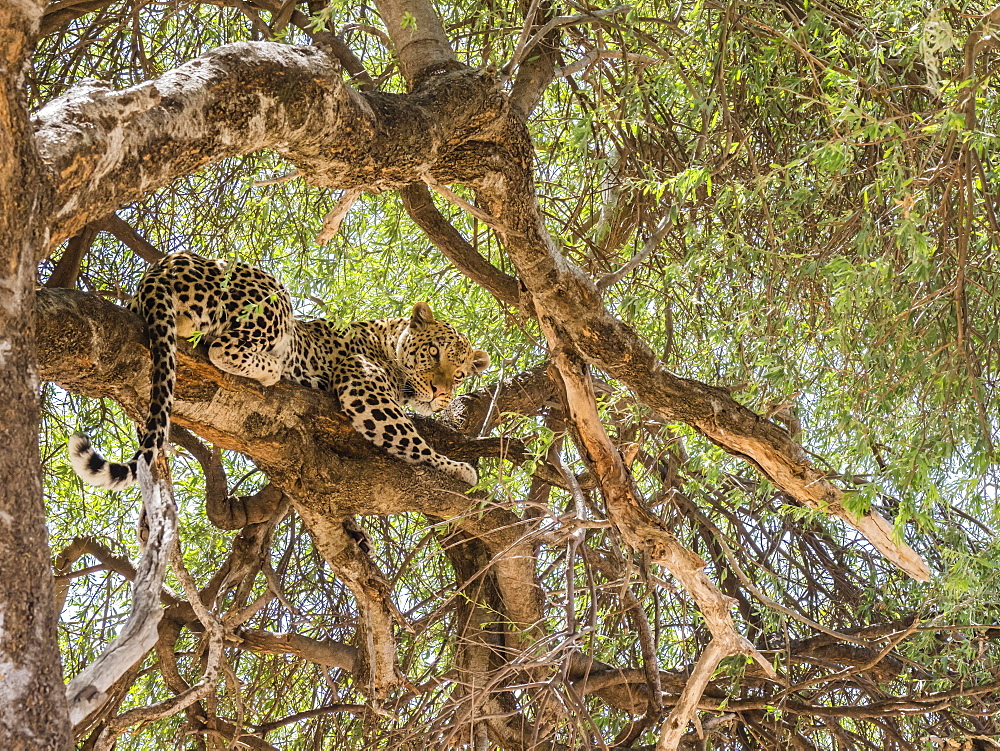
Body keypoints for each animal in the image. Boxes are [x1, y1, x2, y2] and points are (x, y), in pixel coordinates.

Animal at [68, 250, 490, 490]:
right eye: (434, 353)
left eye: (460, 374)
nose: (439, 394)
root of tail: (160, 268)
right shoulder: (364, 388)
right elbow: (411, 440)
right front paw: (457, 468)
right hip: (273, 295)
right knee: (222, 347)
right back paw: (272, 368)